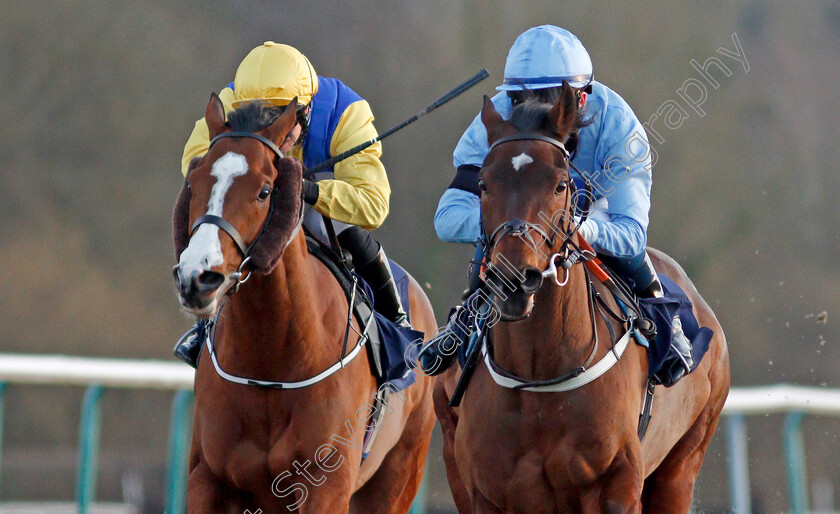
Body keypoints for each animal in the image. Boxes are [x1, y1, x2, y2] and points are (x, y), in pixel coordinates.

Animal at [168, 94, 436, 510]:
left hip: (399, 474)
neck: (270, 364)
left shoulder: (326, 488)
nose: (198, 277)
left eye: (264, 190)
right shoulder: (207, 478)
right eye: (194, 185)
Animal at [434, 82, 728, 510]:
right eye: (484, 183)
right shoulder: (486, 494)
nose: (513, 280)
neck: (537, 375)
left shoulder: (617, 486)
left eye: (560, 184)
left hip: (683, 464)